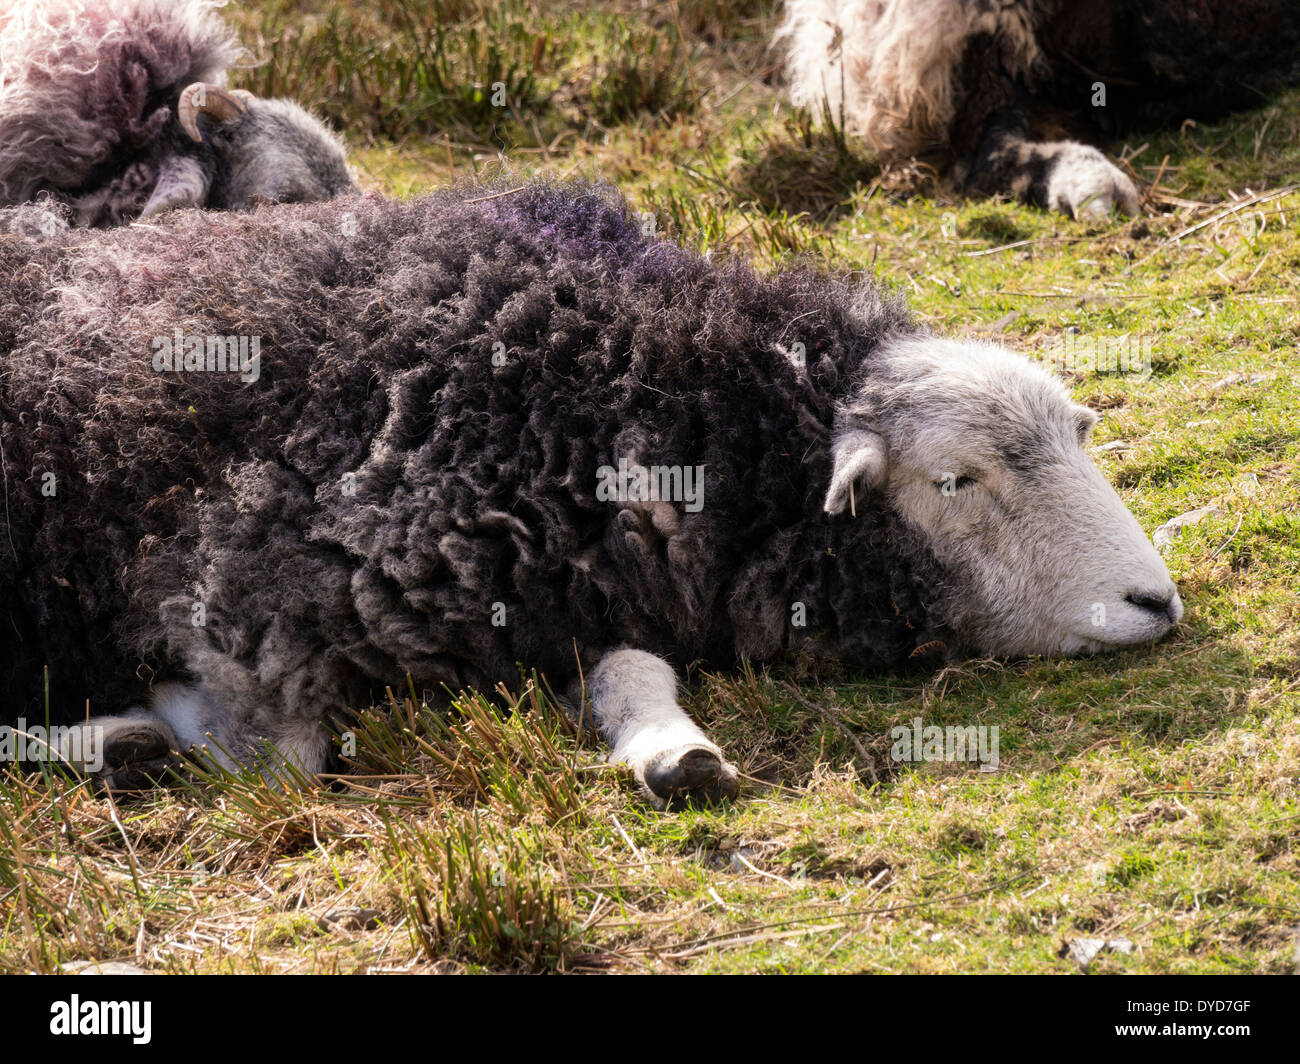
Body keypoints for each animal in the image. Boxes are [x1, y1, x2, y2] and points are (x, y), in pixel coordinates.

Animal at [0, 180, 1180, 806]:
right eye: (954, 481)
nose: (1157, 603)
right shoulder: (244, 596)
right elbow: (274, 758)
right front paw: (139, 726)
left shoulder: (570, 588)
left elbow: (628, 664)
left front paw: (672, 748)